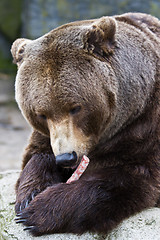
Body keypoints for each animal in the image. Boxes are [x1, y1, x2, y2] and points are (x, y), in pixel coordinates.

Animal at [10, 13, 160, 236]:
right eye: (41, 114)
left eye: (75, 107)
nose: (66, 157)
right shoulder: (46, 135)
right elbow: (35, 156)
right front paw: (29, 196)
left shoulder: (145, 128)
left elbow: (129, 179)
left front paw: (39, 211)